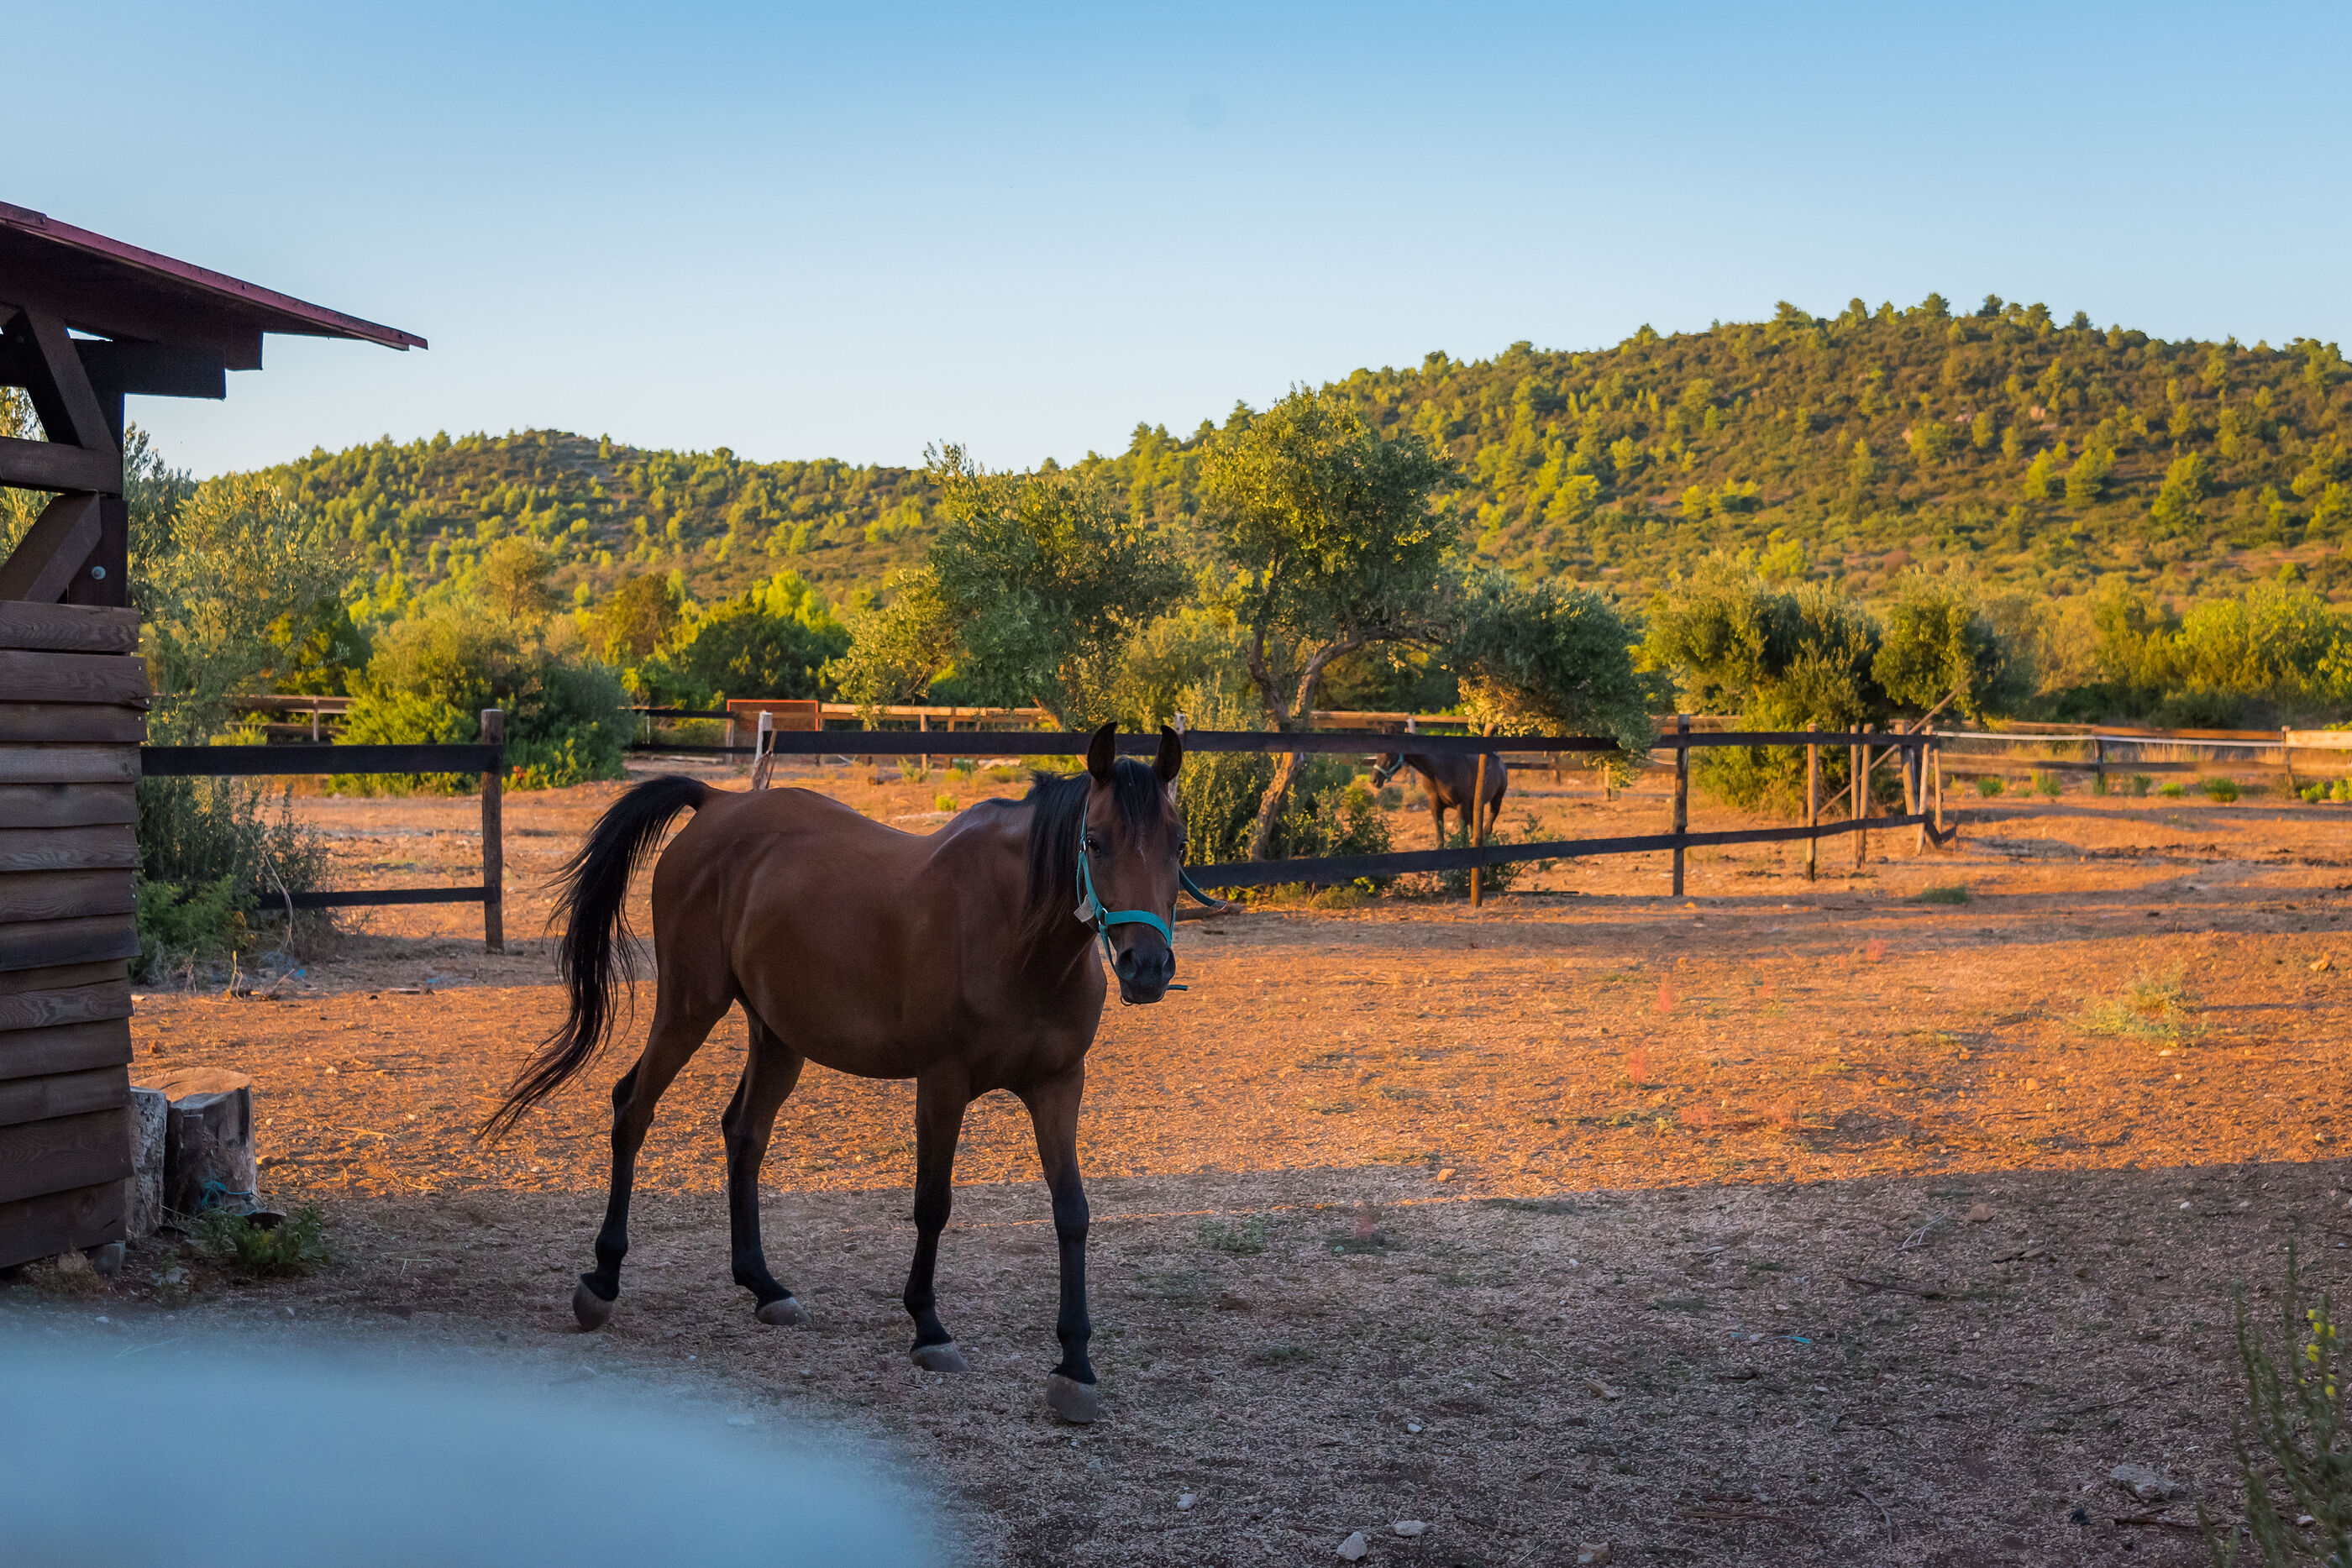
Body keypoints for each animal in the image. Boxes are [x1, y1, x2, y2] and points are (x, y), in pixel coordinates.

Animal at [485, 722, 1192, 1425]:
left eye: (1178, 842)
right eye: (1095, 840)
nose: (1147, 967)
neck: (1017, 933)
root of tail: (718, 802)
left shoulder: (1058, 1086)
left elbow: (1072, 1211)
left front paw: (1075, 1364)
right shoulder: (942, 1084)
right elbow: (933, 1202)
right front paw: (929, 1327)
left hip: (778, 1036)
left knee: (744, 1133)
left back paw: (764, 1285)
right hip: (690, 1007)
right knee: (633, 1108)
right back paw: (603, 1278)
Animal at [1370, 745, 1507, 850]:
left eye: (1388, 753)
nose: (1373, 780)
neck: (1438, 770)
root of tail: (1500, 761)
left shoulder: (1461, 805)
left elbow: (1462, 838)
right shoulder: (1435, 806)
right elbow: (1440, 838)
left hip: (1496, 801)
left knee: (1487, 828)